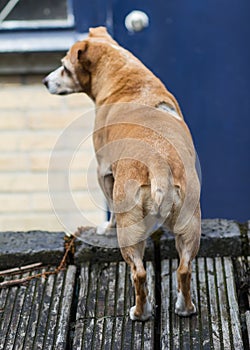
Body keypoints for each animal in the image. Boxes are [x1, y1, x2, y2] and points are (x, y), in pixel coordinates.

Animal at [43, 26, 201, 322]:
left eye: (65, 68)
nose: (45, 82)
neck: (125, 74)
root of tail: (158, 162)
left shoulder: (103, 172)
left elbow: (110, 212)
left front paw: (105, 228)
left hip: (130, 234)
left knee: (138, 274)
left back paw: (140, 312)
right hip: (189, 227)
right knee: (184, 270)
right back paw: (185, 308)